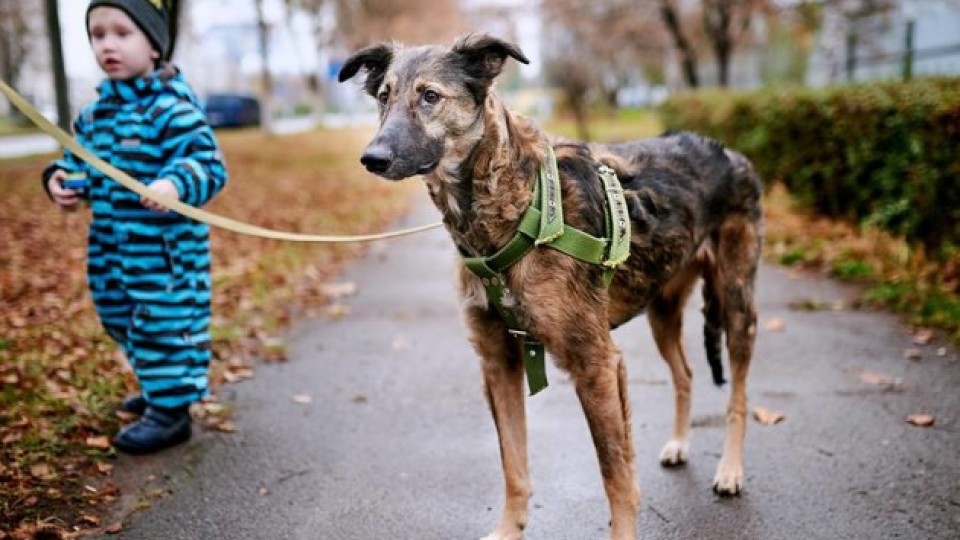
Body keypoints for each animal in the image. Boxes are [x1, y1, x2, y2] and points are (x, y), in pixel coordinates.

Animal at [342, 33, 760, 540]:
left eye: (430, 96)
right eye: (383, 97)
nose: (372, 158)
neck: (517, 207)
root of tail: (727, 150)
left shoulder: (596, 363)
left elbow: (616, 476)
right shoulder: (499, 362)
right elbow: (513, 465)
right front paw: (508, 530)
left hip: (737, 305)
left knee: (738, 397)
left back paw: (730, 470)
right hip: (661, 309)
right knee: (685, 374)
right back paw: (680, 443)